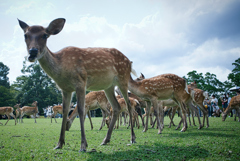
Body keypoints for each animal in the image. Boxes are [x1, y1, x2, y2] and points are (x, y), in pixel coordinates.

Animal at [18, 17, 137, 152]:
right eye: (25, 35)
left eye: (45, 35)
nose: (32, 52)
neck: (62, 68)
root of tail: (129, 62)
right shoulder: (65, 89)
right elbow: (65, 111)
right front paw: (59, 144)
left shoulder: (81, 82)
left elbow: (80, 110)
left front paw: (83, 145)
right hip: (108, 86)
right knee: (116, 107)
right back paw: (105, 140)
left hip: (123, 79)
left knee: (128, 106)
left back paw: (132, 138)